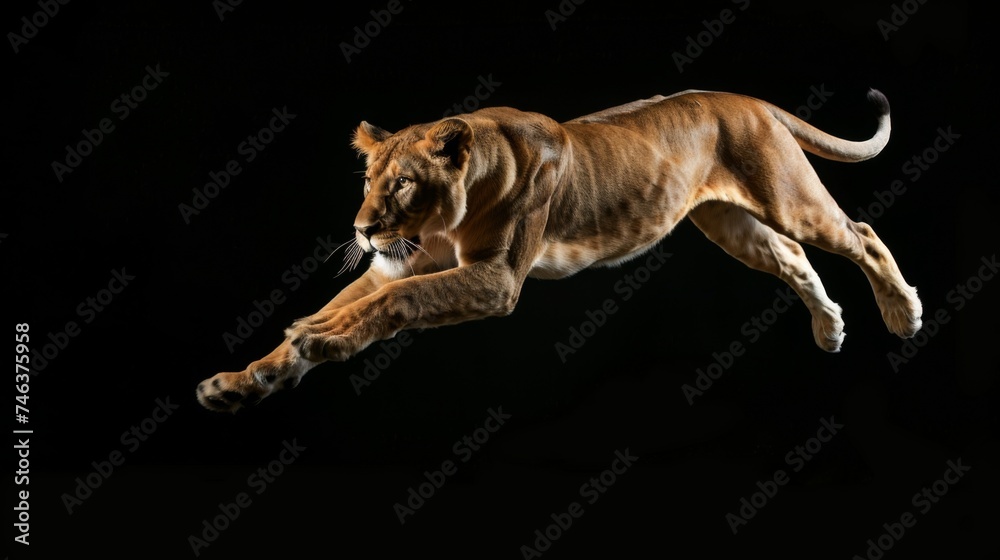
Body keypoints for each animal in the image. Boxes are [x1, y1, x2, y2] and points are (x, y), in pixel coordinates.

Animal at [197, 88, 922, 412]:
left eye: (403, 183)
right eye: (369, 179)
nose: (363, 230)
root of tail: (751, 99)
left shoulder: (492, 280)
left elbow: (400, 301)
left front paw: (319, 338)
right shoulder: (399, 263)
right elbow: (365, 299)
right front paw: (244, 381)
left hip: (791, 198)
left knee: (862, 234)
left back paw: (903, 314)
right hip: (729, 222)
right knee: (794, 259)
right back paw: (830, 331)